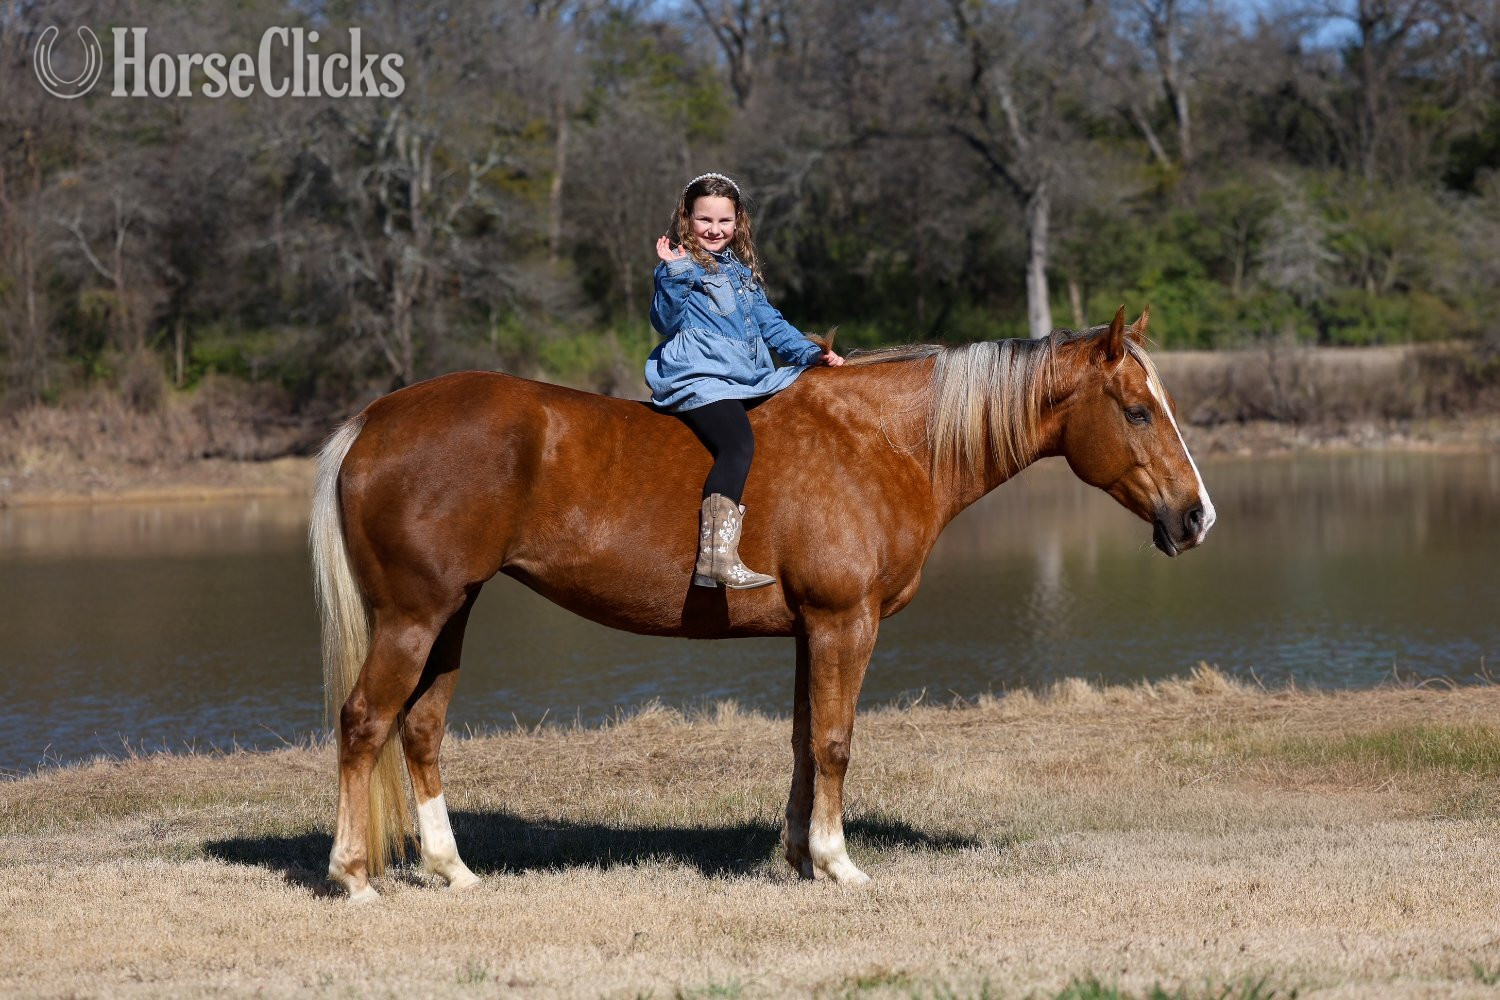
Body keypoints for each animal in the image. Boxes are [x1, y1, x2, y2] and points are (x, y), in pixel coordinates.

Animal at [310, 306, 1215, 902]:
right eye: (1138, 411)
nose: (1196, 517)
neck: (880, 442)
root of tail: (374, 420)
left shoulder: (811, 631)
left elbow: (803, 743)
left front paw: (797, 855)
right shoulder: (846, 622)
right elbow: (838, 743)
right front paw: (839, 863)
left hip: (450, 615)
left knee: (420, 730)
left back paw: (452, 869)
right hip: (413, 618)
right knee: (363, 723)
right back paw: (353, 877)